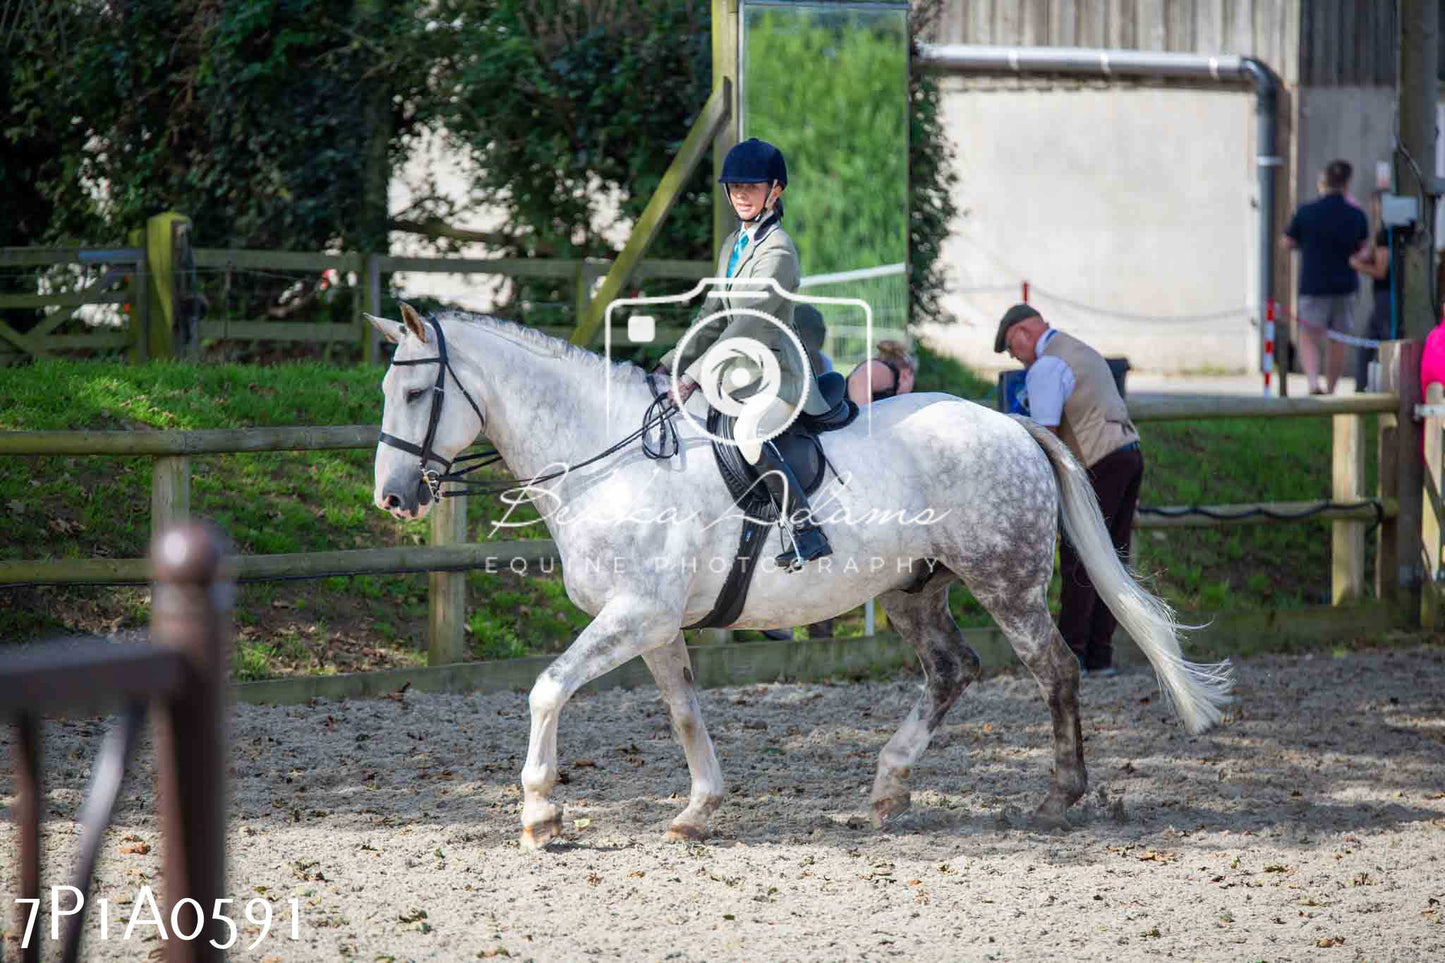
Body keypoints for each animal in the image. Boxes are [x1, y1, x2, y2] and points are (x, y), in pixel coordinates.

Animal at [369, 307, 1231, 850]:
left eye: (413, 392)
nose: (394, 497)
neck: (605, 457)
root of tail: (1009, 421)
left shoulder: (634, 613)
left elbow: (546, 689)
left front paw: (541, 814)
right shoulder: (654, 624)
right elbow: (684, 712)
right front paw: (697, 811)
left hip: (1004, 578)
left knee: (1052, 669)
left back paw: (1057, 796)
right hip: (914, 589)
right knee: (952, 669)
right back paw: (887, 788)